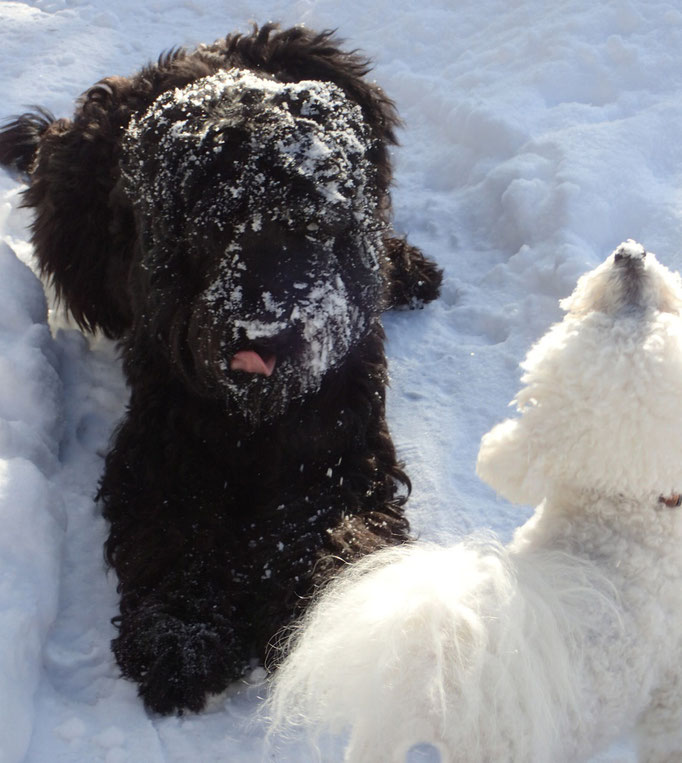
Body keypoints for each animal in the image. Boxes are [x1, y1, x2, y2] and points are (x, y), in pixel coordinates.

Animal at [0, 23, 440, 716]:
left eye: (310, 221)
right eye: (217, 227)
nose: (263, 331)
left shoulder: (339, 447)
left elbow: (327, 531)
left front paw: (321, 630)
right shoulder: (165, 450)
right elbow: (178, 536)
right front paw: (182, 639)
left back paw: (410, 269)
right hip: (73, 218)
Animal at [266, 243, 682, 763]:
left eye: (651, 311)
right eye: (616, 317)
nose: (630, 253)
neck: (631, 510)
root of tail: (438, 666)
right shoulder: (670, 694)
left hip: (379, 735)